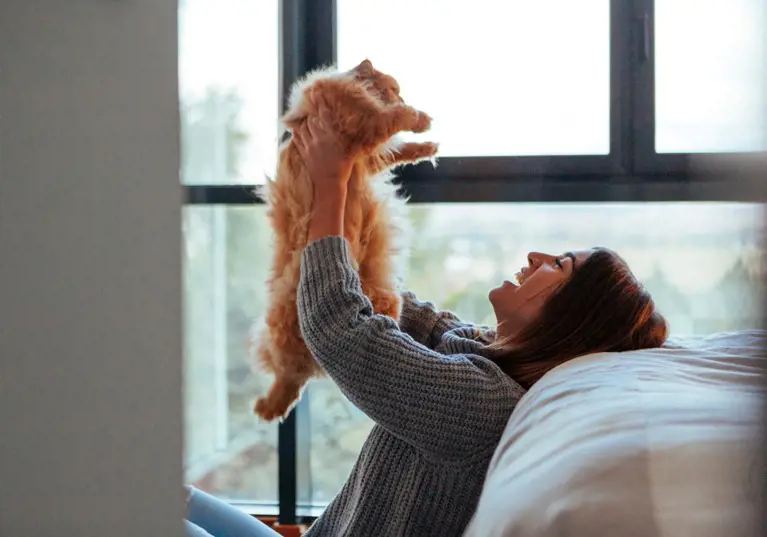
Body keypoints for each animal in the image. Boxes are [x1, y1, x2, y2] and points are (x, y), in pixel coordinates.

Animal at [254, 57, 438, 418]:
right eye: (393, 89)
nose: (400, 95)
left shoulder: (365, 152)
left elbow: (399, 149)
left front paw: (427, 145)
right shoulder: (361, 128)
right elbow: (395, 121)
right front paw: (420, 119)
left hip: (385, 301)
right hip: (288, 327)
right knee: (288, 375)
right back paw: (270, 406)